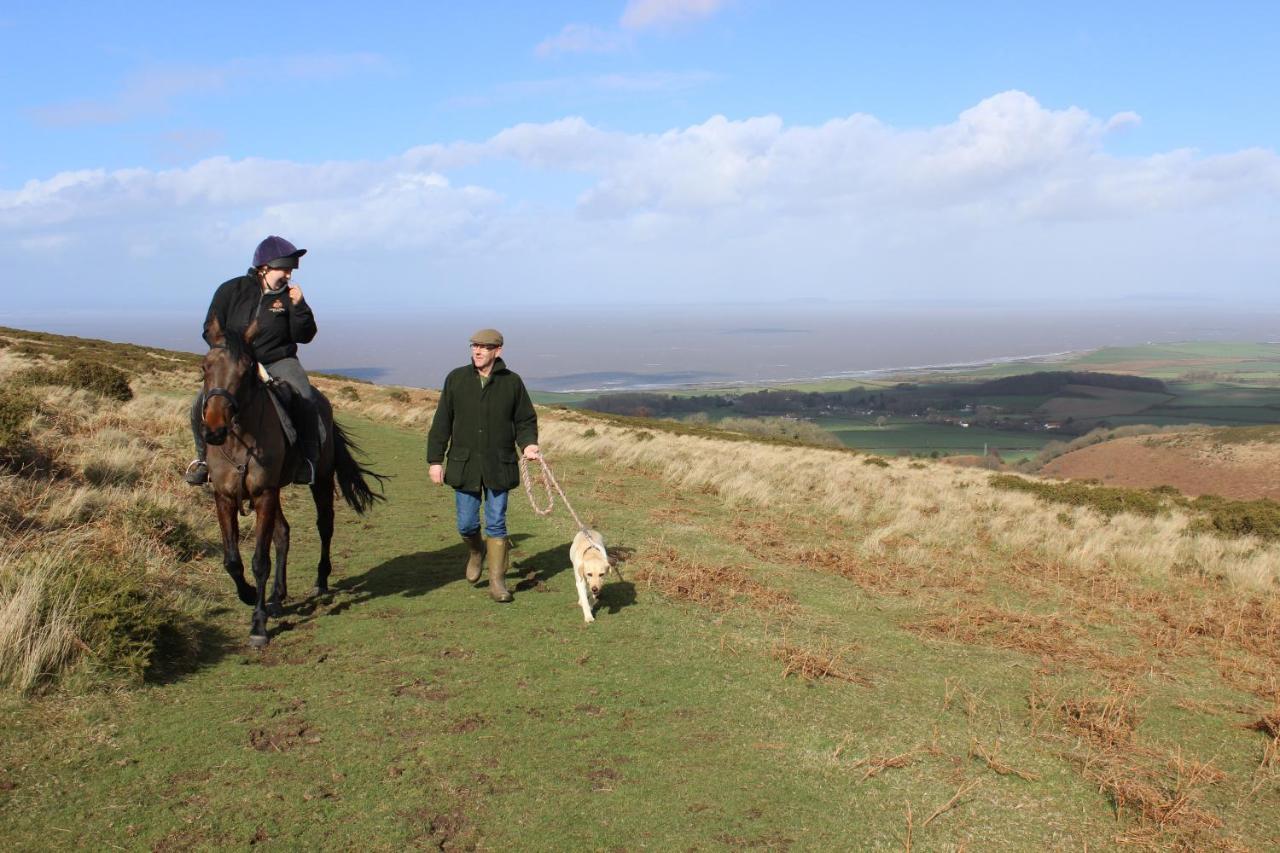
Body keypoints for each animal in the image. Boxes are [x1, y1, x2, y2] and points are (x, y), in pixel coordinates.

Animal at [199, 313, 384, 645]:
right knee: (283, 533)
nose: (215, 430)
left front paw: (258, 625)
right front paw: (249, 595)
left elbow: (260, 561)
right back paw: (277, 596)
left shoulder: (264, 494)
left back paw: (320, 580)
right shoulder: (225, 497)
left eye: (245, 369)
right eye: (205, 366)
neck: (239, 440)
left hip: (319, 480)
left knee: (325, 526)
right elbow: (233, 560)